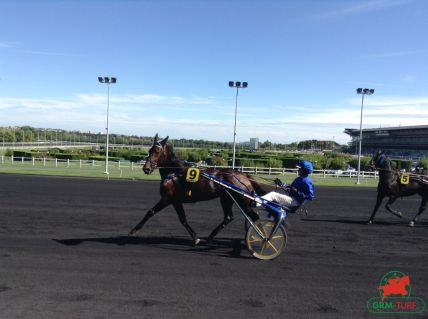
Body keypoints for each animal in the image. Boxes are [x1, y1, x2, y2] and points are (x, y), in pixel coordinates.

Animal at [129, 134, 266, 246]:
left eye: (157, 151)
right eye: (149, 150)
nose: (146, 169)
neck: (174, 172)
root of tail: (244, 175)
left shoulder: (168, 198)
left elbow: (151, 212)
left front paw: (134, 230)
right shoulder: (176, 200)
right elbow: (183, 219)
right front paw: (196, 238)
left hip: (241, 200)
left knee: (254, 217)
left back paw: (263, 238)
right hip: (226, 198)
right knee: (228, 217)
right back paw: (210, 238)